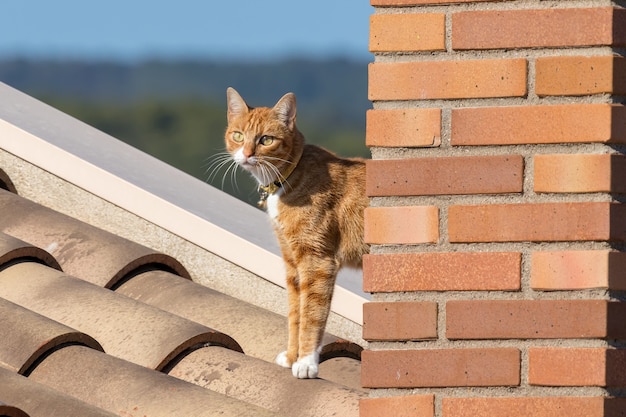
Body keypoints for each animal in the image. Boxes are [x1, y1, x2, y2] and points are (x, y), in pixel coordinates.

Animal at [224, 87, 368, 376]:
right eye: (238, 135)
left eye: (266, 139)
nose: (246, 154)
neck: (290, 177)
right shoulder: (292, 261)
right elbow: (295, 313)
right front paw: (292, 356)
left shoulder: (317, 261)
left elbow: (312, 313)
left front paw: (306, 363)